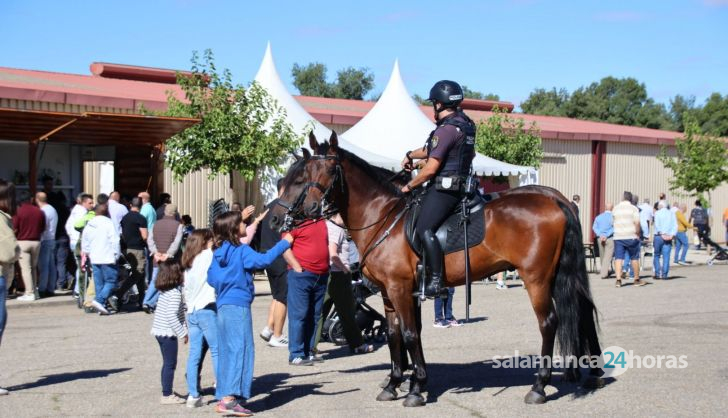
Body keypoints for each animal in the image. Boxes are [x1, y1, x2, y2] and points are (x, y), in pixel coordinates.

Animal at [272, 133, 604, 404]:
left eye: (326, 171)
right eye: (300, 176)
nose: (277, 219)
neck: (380, 216)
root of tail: (557, 202)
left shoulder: (400, 289)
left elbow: (408, 334)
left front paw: (416, 388)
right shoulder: (391, 293)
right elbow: (395, 335)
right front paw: (394, 383)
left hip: (536, 279)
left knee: (549, 322)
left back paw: (539, 386)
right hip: (558, 276)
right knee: (582, 313)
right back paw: (592, 373)